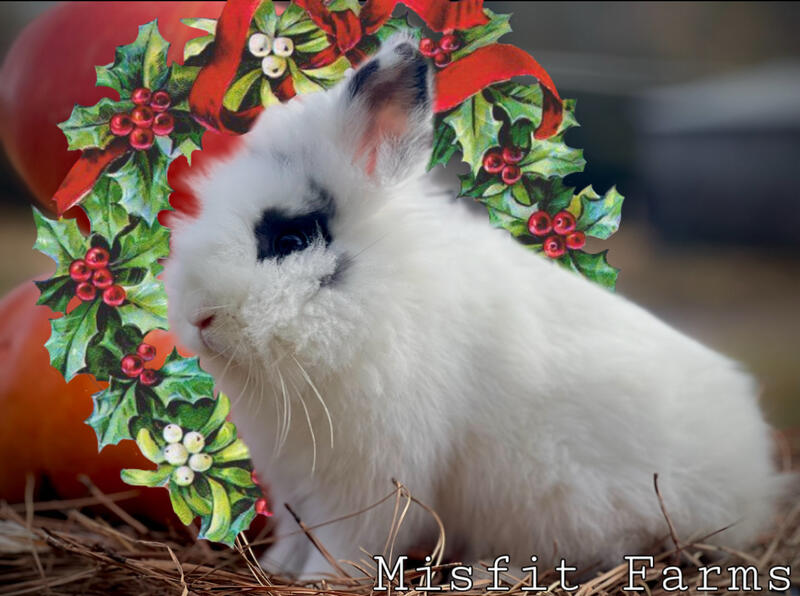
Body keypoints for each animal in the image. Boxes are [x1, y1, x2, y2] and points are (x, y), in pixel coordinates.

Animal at [164, 35, 779, 579]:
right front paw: (276, 570)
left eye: (290, 239)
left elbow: (344, 545)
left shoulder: (374, 481)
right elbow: (296, 534)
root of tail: (756, 472)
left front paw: (316, 581)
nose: (197, 316)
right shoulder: (298, 482)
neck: (379, 302)